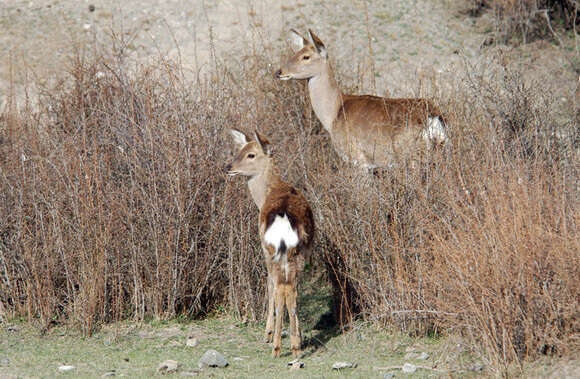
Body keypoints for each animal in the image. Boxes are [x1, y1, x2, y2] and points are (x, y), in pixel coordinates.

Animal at [223, 129, 312, 358]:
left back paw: (277, 344)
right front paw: (297, 334)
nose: (228, 167)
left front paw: (269, 333)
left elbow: (270, 284)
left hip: (272, 249)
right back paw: (294, 346)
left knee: (278, 286)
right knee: (290, 288)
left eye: (251, 154)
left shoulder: (264, 249)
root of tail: (283, 217)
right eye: (240, 150)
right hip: (295, 251)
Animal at [276, 29, 448, 171]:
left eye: (306, 56)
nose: (279, 72)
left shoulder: (358, 160)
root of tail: (433, 118)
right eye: (295, 53)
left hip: (411, 158)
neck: (333, 113)